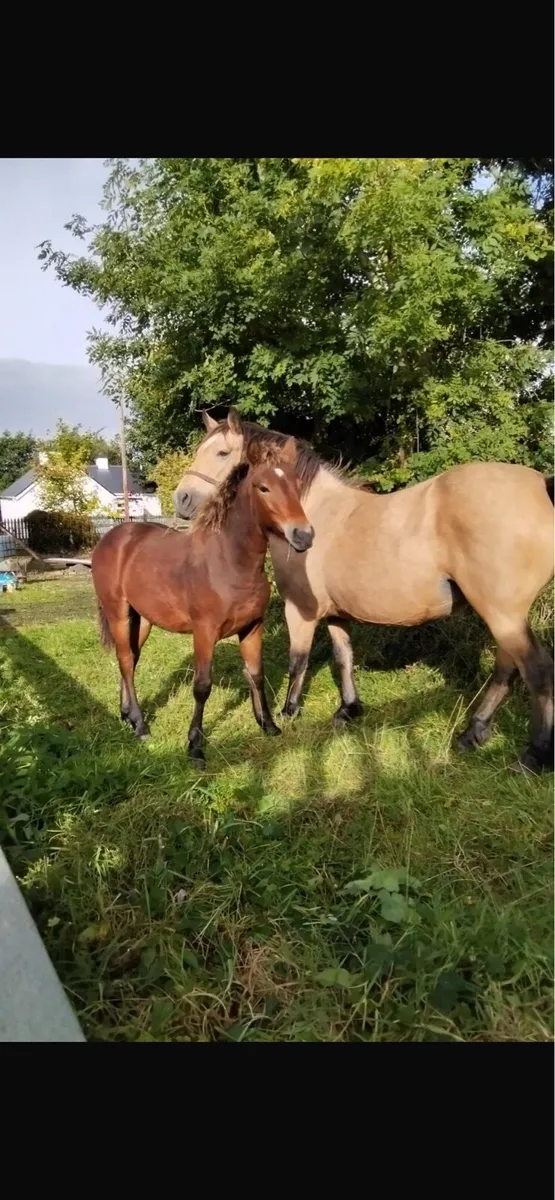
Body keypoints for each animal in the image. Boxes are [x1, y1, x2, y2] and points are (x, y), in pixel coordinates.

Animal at [91, 435, 313, 764]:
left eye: (297, 485)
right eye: (263, 487)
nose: (303, 536)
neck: (230, 562)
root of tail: (111, 538)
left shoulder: (253, 627)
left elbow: (256, 675)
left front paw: (268, 724)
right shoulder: (204, 633)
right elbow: (202, 686)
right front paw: (195, 745)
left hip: (141, 619)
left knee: (129, 659)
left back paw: (127, 715)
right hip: (118, 613)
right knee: (126, 660)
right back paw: (141, 726)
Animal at [174, 408, 554, 774]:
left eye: (222, 453)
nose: (182, 499)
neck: (315, 511)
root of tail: (541, 487)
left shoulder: (300, 610)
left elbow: (299, 661)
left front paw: (288, 711)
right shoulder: (336, 613)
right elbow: (344, 658)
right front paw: (348, 709)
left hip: (503, 614)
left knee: (537, 672)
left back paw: (533, 756)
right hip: (504, 616)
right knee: (507, 669)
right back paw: (473, 733)